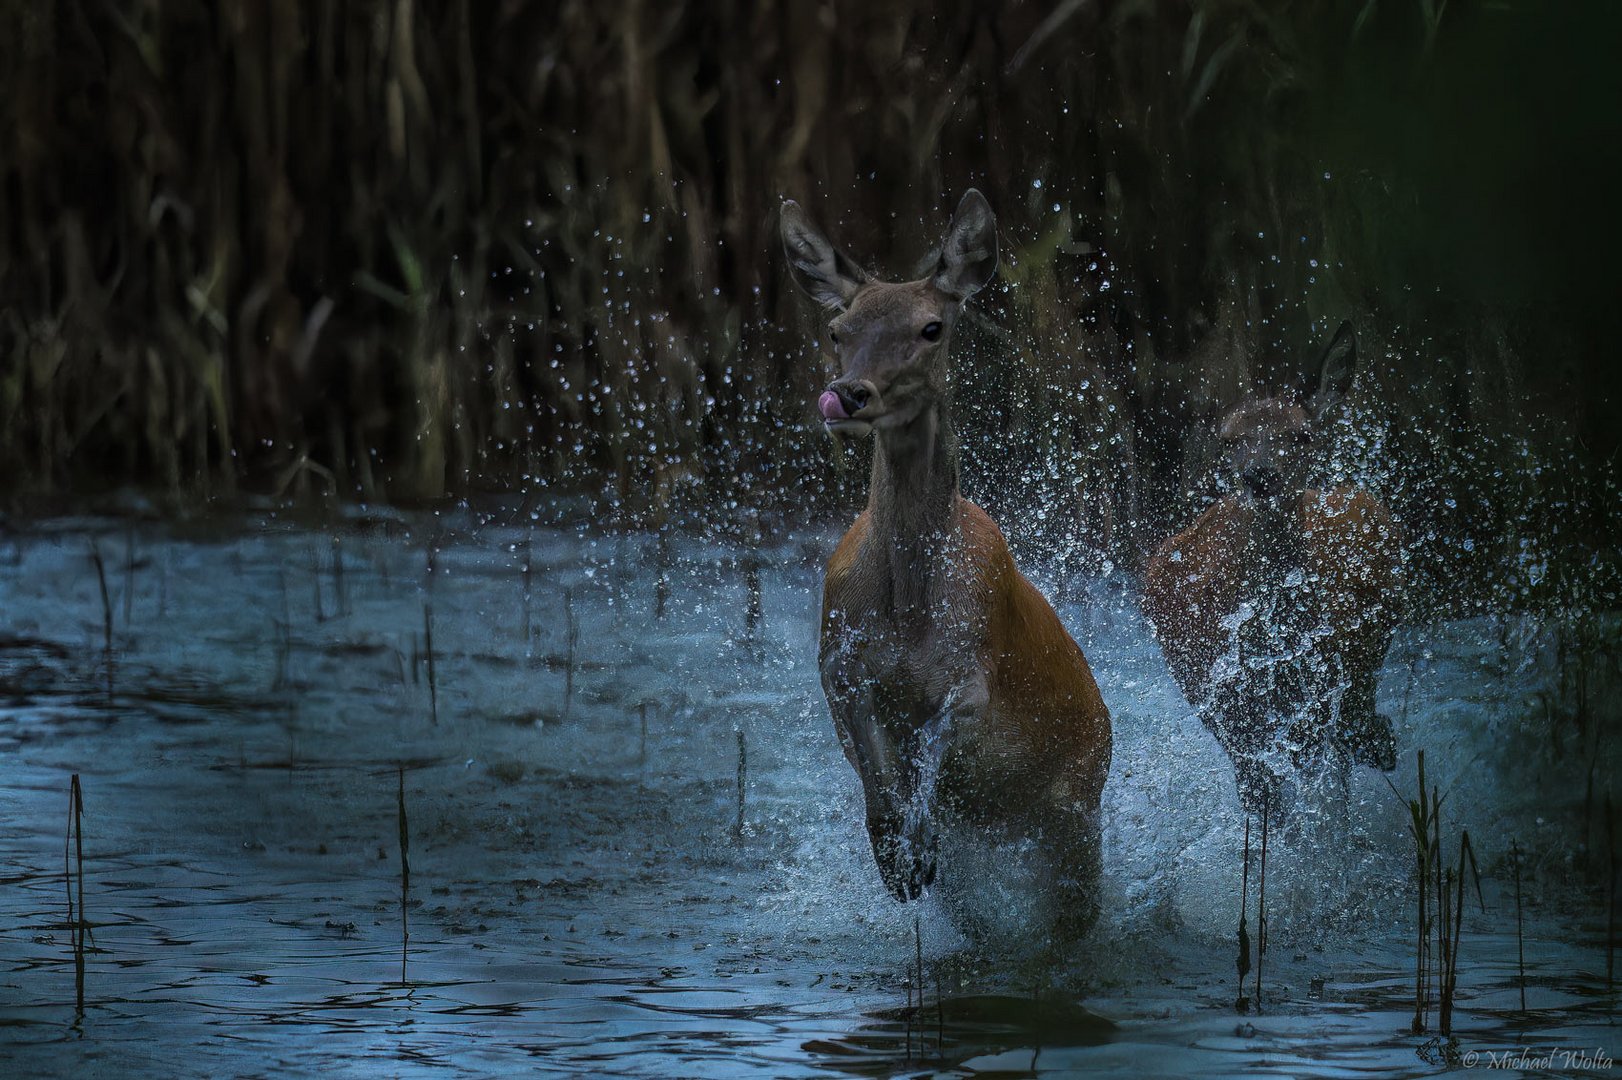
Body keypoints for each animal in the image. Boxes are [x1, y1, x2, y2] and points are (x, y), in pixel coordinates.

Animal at [775, 188, 1109, 940]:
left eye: (931, 328)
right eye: (839, 329)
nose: (851, 392)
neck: (907, 607)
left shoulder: (973, 669)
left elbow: (931, 741)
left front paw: (914, 841)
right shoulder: (836, 659)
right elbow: (879, 773)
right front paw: (896, 858)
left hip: (1079, 803)